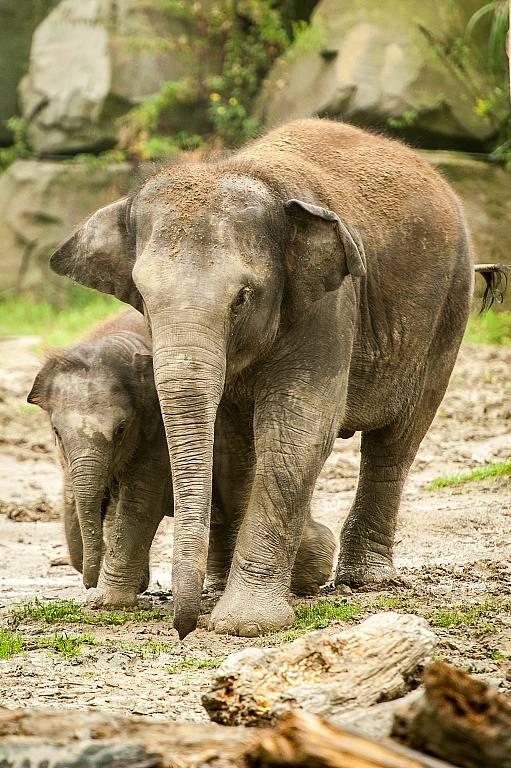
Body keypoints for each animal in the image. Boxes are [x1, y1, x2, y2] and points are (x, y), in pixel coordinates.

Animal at [50, 118, 474, 636]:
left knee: (397, 439)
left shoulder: (329, 301)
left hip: (450, 306)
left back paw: (365, 580)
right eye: (143, 298)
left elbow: (297, 426)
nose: (183, 628)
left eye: (242, 298)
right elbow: (233, 440)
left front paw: (244, 624)